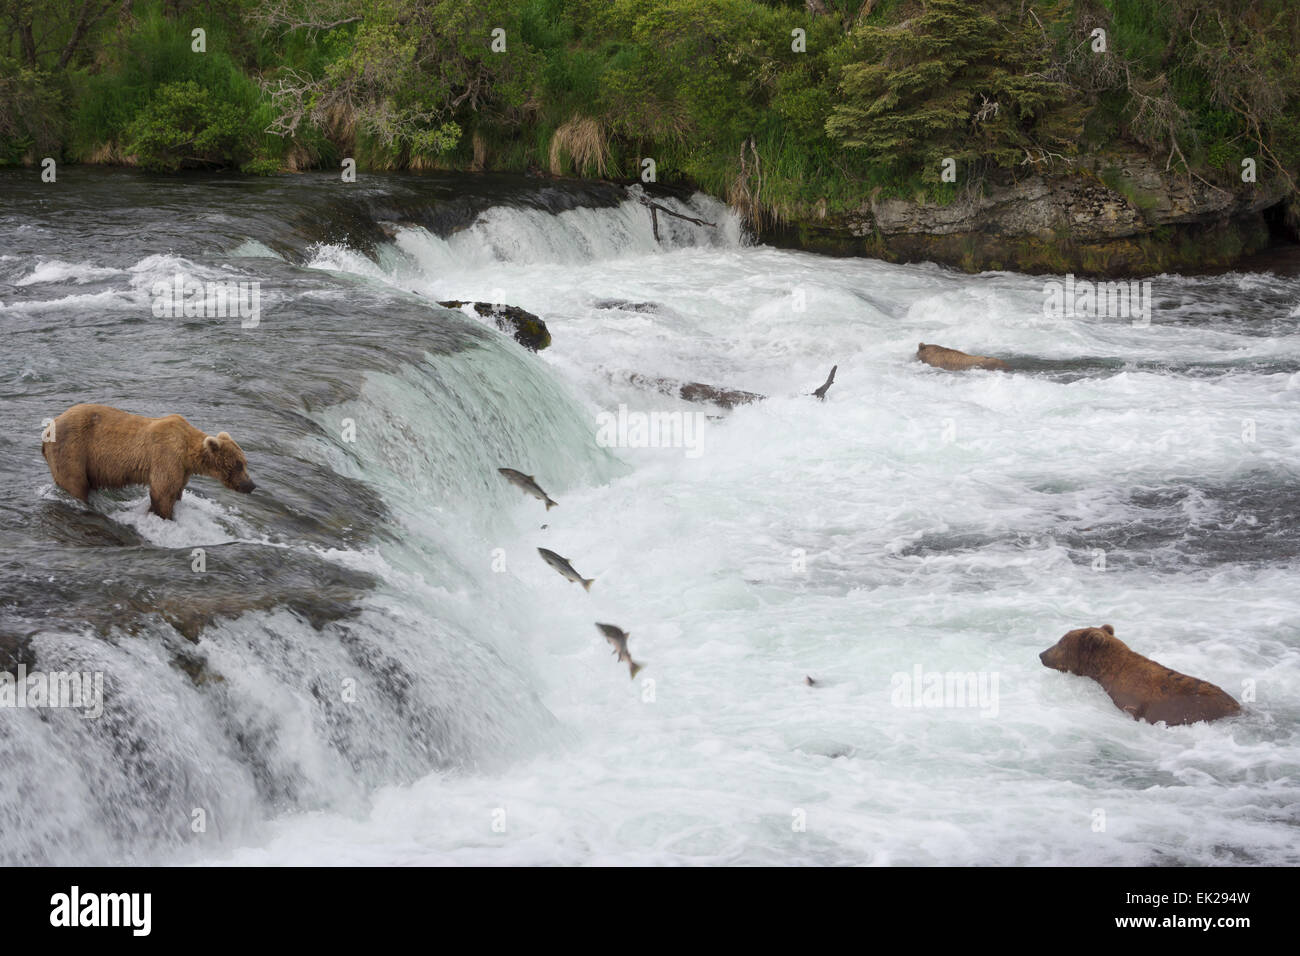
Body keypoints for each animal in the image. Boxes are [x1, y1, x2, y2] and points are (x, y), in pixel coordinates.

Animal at [40, 403, 256, 522]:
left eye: (245, 462)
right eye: (238, 464)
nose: (251, 485)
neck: (187, 453)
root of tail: (47, 430)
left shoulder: (182, 469)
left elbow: (176, 490)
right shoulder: (166, 456)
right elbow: (162, 492)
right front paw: (165, 518)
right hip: (73, 448)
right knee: (74, 482)